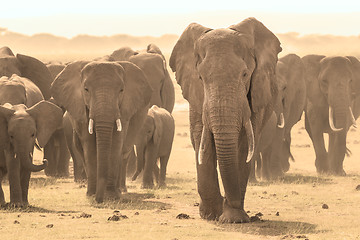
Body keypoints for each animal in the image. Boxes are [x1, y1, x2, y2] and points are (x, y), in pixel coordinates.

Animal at [0, 75, 62, 206]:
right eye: (11, 136)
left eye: (33, 134)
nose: (44, 160)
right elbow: (12, 161)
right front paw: (17, 205)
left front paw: (23, 205)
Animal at [50, 60, 152, 202]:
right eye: (86, 89)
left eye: (121, 90)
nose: (99, 200)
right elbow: (89, 145)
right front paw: (92, 195)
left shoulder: (124, 109)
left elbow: (116, 142)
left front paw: (111, 196)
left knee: (123, 152)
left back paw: (120, 191)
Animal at [169, 17, 282, 223]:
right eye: (200, 77)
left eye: (245, 75)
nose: (228, 201)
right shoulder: (197, 96)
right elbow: (202, 140)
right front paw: (211, 214)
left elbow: (244, 145)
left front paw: (233, 218)